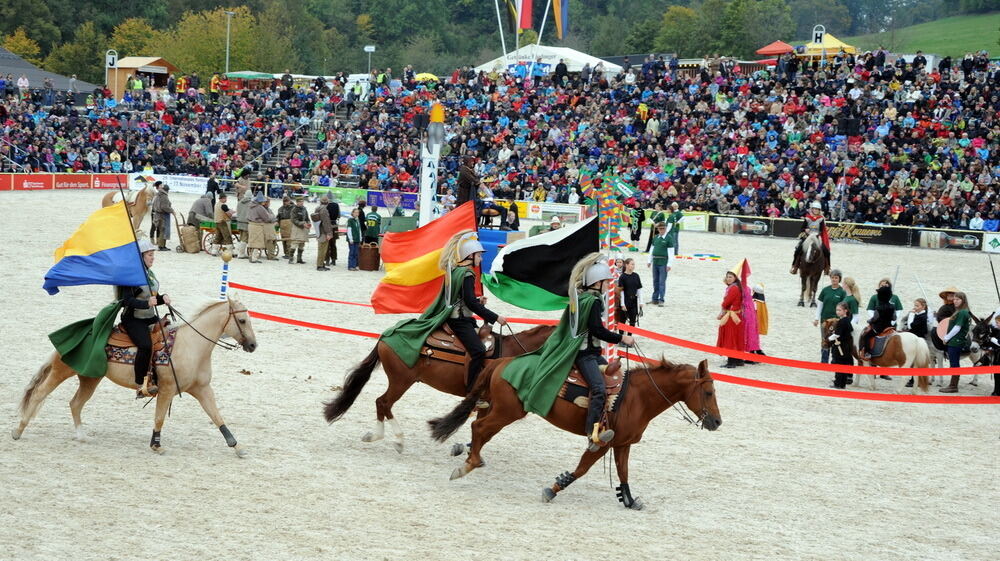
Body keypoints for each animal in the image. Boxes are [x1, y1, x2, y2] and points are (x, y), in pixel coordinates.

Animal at [13, 298, 258, 456]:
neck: (191, 345)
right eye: (242, 321)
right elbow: (159, 418)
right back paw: (18, 431)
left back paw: (82, 436)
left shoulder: (202, 389)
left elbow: (216, 416)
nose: (253, 345)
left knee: (75, 403)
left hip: (90, 378)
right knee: (39, 394)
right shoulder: (167, 390)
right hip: (61, 371)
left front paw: (237, 446)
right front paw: (156, 445)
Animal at [322, 326, 556, 452]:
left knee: (382, 403)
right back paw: (394, 439)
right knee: (383, 402)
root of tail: (386, 336)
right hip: (400, 382)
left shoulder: (486, 401)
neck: (513, 352)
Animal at [426, 356, 724, 510]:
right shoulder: (602, 444)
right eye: (709, 392)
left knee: (480, 427)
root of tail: (503, 361)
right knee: (478, 428)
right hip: (507, 412)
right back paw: (468, 464)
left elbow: (624, 473)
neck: (638, 396)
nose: (717, 422)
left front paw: (628, 499)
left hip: (498, 408)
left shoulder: (623, 444)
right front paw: (554, 488)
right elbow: (581, 469)